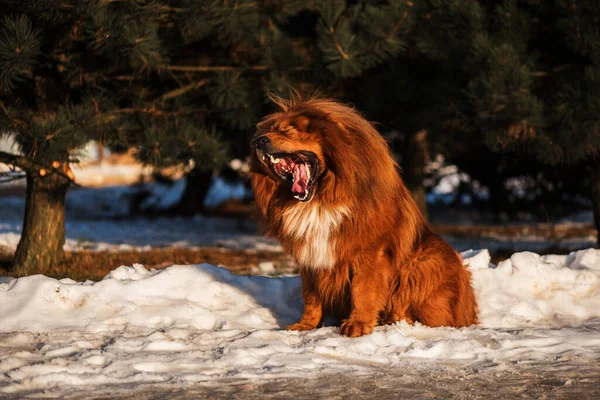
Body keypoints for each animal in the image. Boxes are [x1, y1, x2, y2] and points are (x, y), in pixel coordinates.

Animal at [248, 95, 478, 336]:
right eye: (269, 131)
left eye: (287, 131)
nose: (258, 142)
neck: (322, 199)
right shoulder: (310, 257)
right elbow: (311, 297)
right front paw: (305, 325)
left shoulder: (370, 253)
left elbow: (363, 291)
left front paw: (357, 325)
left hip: (424, 261)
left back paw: (397, 319)